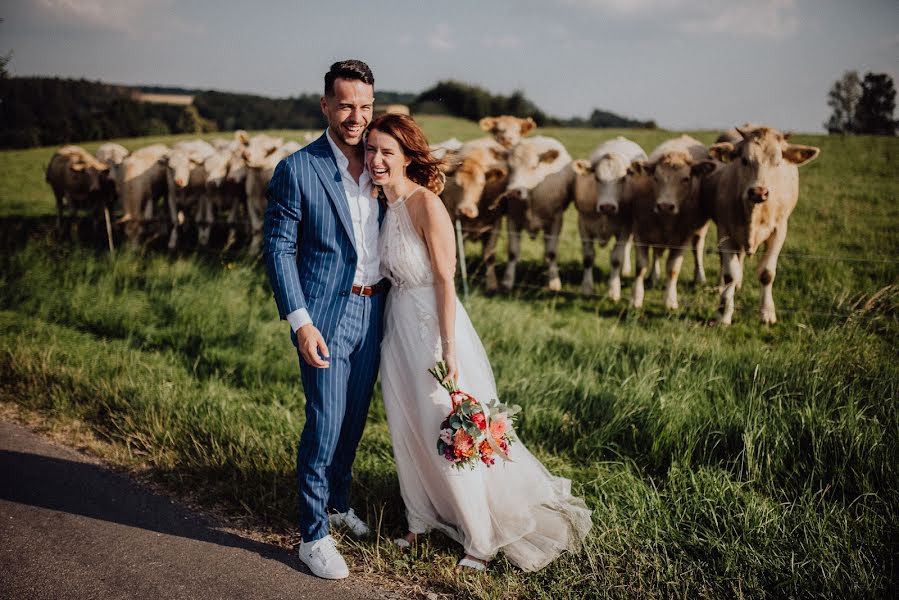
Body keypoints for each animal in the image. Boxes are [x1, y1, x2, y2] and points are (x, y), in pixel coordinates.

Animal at [440, 139, 510, 292]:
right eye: (457, 183)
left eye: (482, 183)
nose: (466, 210)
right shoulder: (454, 225)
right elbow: (457, 253)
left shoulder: (495, 225)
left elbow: (489, 256)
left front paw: (492, 285)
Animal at [502, 138, 572, 292]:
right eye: (509, 167)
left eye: (533, 167)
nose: (513, 191)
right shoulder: (512, 219)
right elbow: (512, 252)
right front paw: (507, 281)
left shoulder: (556, 220)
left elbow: (552, 252)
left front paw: (554, 282)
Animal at [568, 135, 648, 296]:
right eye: (597, 178)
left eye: (623, 178)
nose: (607, 206)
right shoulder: (583, 225)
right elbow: (588, 256)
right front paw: (587, 287)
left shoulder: (624, 228)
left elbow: (616, 258)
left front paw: (613, 290)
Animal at [624, 135, 716, 310]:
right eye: (656, 178)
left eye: (686, 179)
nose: (665, 206)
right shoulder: (641, 233)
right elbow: (641, 267)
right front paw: (636, 298)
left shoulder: (682, 239)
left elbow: (673, 269)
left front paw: (670, 300)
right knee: (657, 253)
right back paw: (654, 276)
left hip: (700, 231)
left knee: (698, 250)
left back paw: (700, 277)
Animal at [704, 124, 824, 326]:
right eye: (744, 160)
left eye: (778, 162)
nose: (758, 191)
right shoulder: (724, 230)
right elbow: (730, 274)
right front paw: (723, 313)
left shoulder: (780, 230)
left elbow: (767, 273)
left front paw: (767, 313)